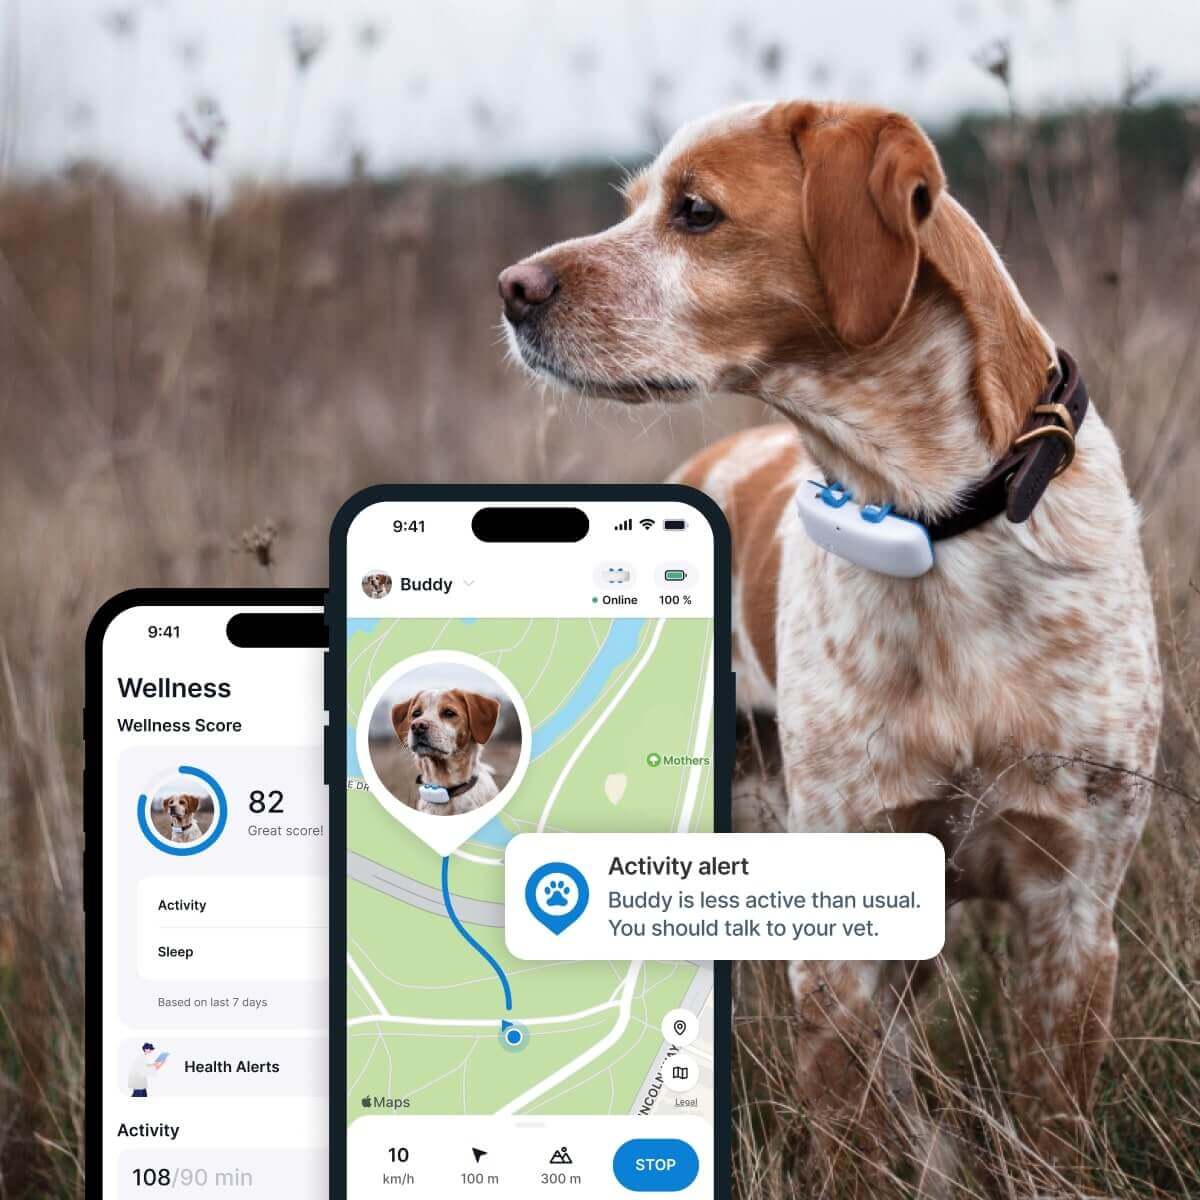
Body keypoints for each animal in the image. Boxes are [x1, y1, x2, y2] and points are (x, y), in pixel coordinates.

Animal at [499, 100, 1161, 1171]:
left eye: (695, 211)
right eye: (634, 203)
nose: (512, 290)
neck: (933, 521)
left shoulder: (1073, 909)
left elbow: (1051, 1127)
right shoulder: (841, 932)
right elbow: (854, 1140)